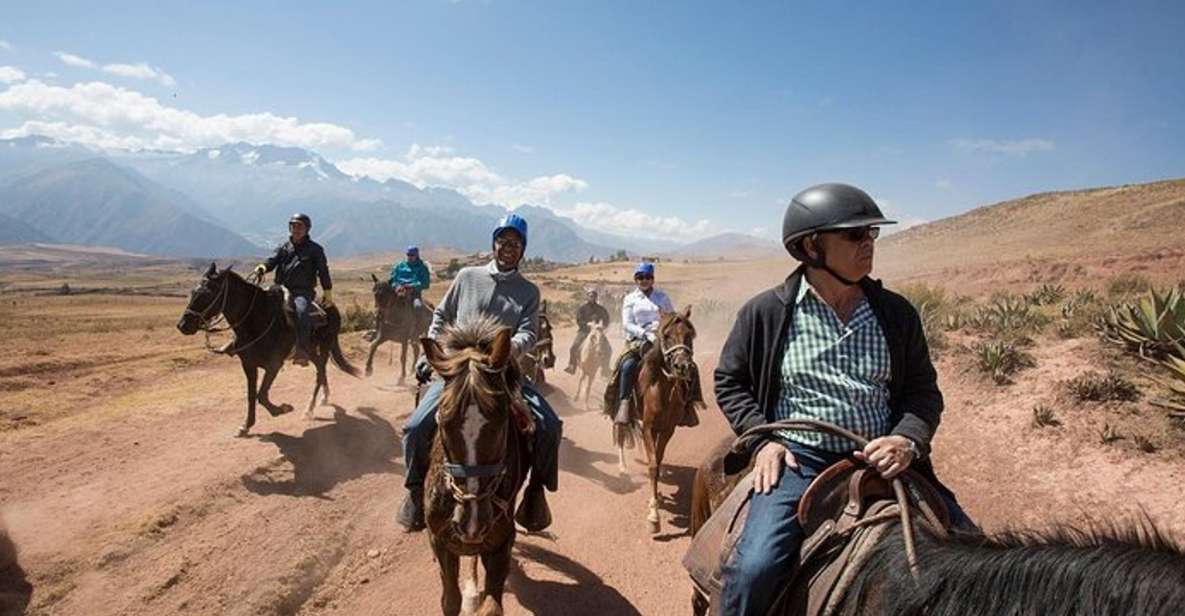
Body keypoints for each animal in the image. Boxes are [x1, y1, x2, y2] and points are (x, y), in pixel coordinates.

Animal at [176, 261, 360, 435]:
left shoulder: (274, 365)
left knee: (320, 372)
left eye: (207, 294)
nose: (183, 325)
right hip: (312, 350)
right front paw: (246, 426)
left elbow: (262, 395)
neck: (258, 318)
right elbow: (251, 395)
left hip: (325, 345)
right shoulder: (248, 365)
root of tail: (330, 305)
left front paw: (281, 409)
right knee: (321, 369)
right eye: (193, 292)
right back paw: (324, 398)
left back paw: (309, 409)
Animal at [419, 317, 526, 616]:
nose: (471, 522)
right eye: (443, 420)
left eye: (502, 420)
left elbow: (492, 607)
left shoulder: (501, 543)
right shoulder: (440, 541)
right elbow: (450, 601)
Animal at [635, 305, 696, 533]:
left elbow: (658, 462)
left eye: (689, 335)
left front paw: (657, 501)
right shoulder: (648, 428)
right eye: (667, 335)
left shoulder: (667, 430)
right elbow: (653, 466)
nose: (682, 366)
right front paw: (654, 516)